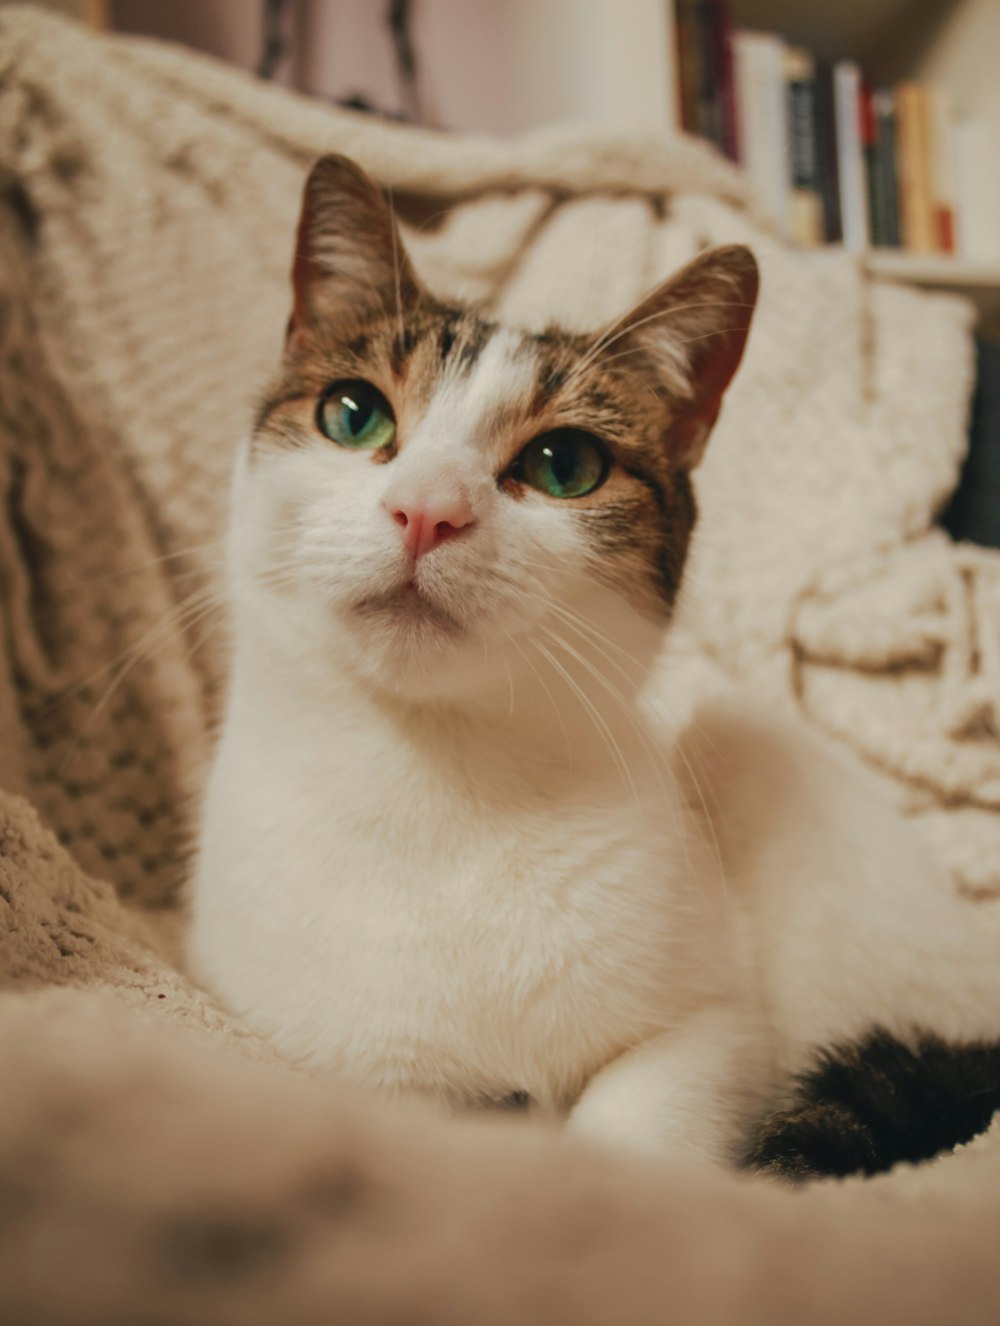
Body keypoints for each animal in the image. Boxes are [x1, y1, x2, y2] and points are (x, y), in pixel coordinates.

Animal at [185, 155, 997, 1182]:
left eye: (563, 464)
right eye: (354, 414)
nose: (427, 509)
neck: (439, 787)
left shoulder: (714, 1026)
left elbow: (642, 1129)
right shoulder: (322, 1059)